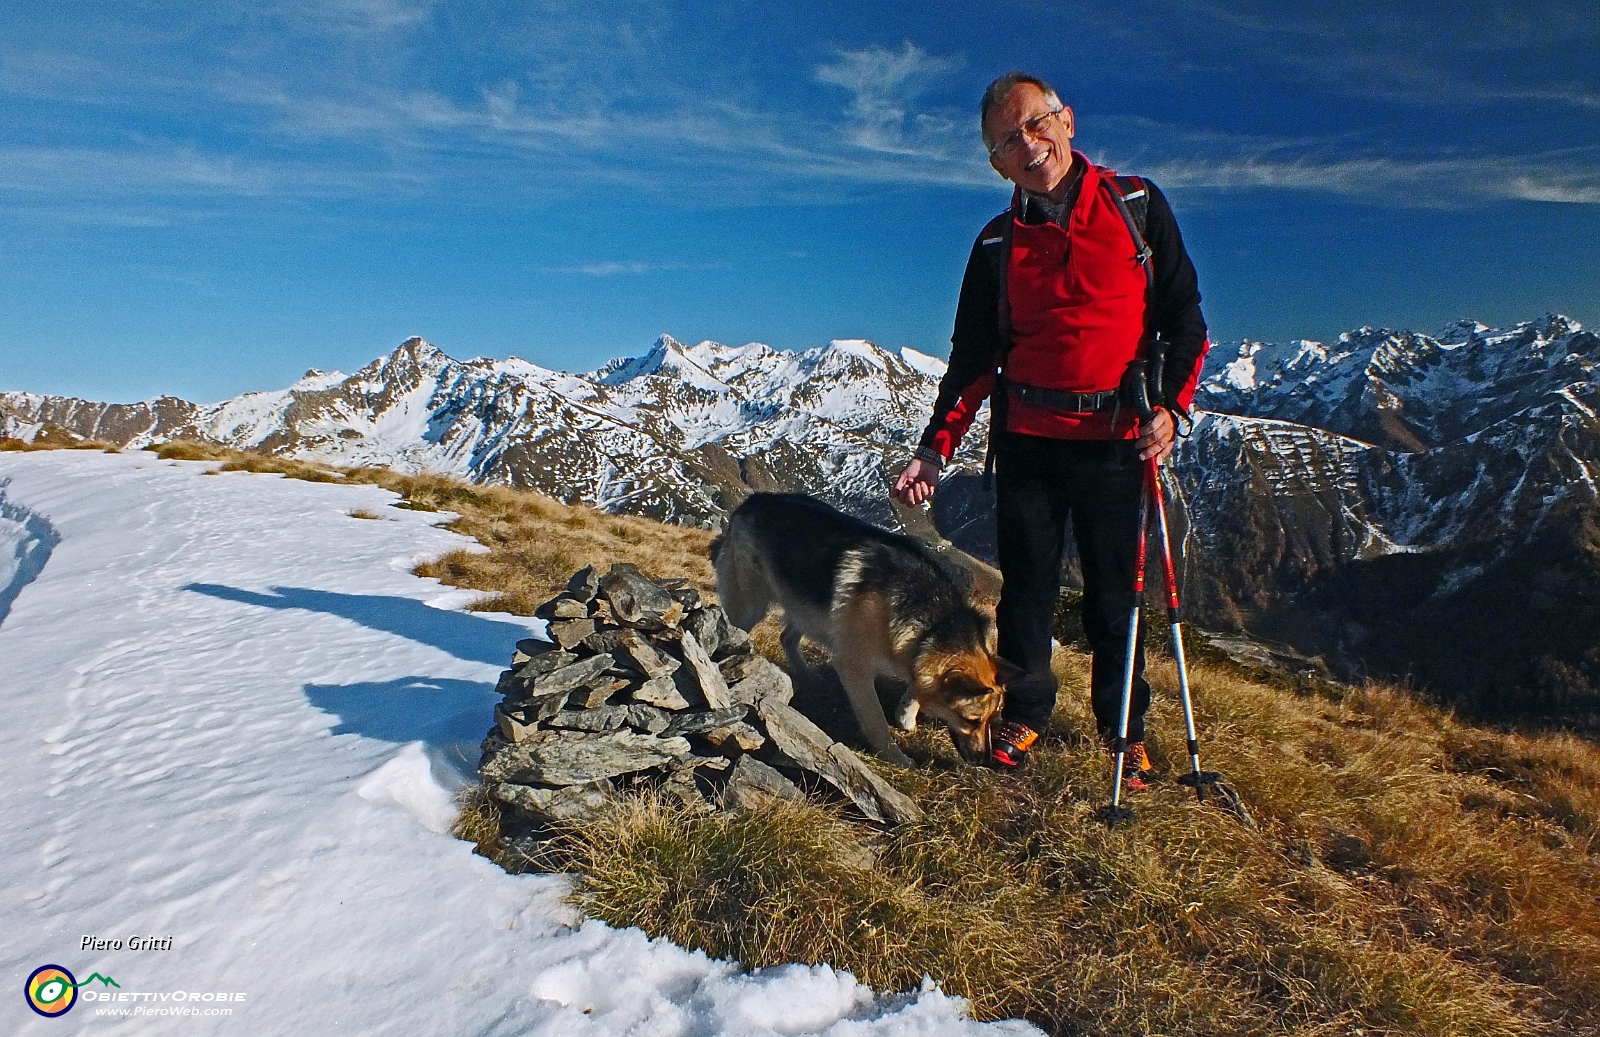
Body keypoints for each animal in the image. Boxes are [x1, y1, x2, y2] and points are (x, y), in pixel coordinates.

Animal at [710, 489, 1017, 764]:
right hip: (752, 605)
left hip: (811, 610)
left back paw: (808, 675)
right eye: (971, 720)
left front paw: (907, 713)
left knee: (787, 637)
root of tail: (753, 500)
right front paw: (896, 756)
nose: (985, 761)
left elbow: (918, 682)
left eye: (993, 720)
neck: (934, 624)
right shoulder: (855, 669)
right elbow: (877, 721)